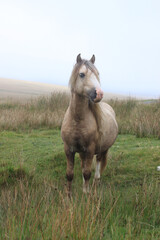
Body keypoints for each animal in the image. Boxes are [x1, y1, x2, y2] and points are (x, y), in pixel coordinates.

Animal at [60, 54, 118, 195]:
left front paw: (86, 193)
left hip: (102, 149)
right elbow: (70, 174)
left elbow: (87, 173)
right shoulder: (68, 149)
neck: (77, 120)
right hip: (82, 152)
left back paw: (96, 181)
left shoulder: (90, 149)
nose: (99, 94)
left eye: (98, 74)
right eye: (82, 74)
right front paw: (68, 195)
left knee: (98, 162)